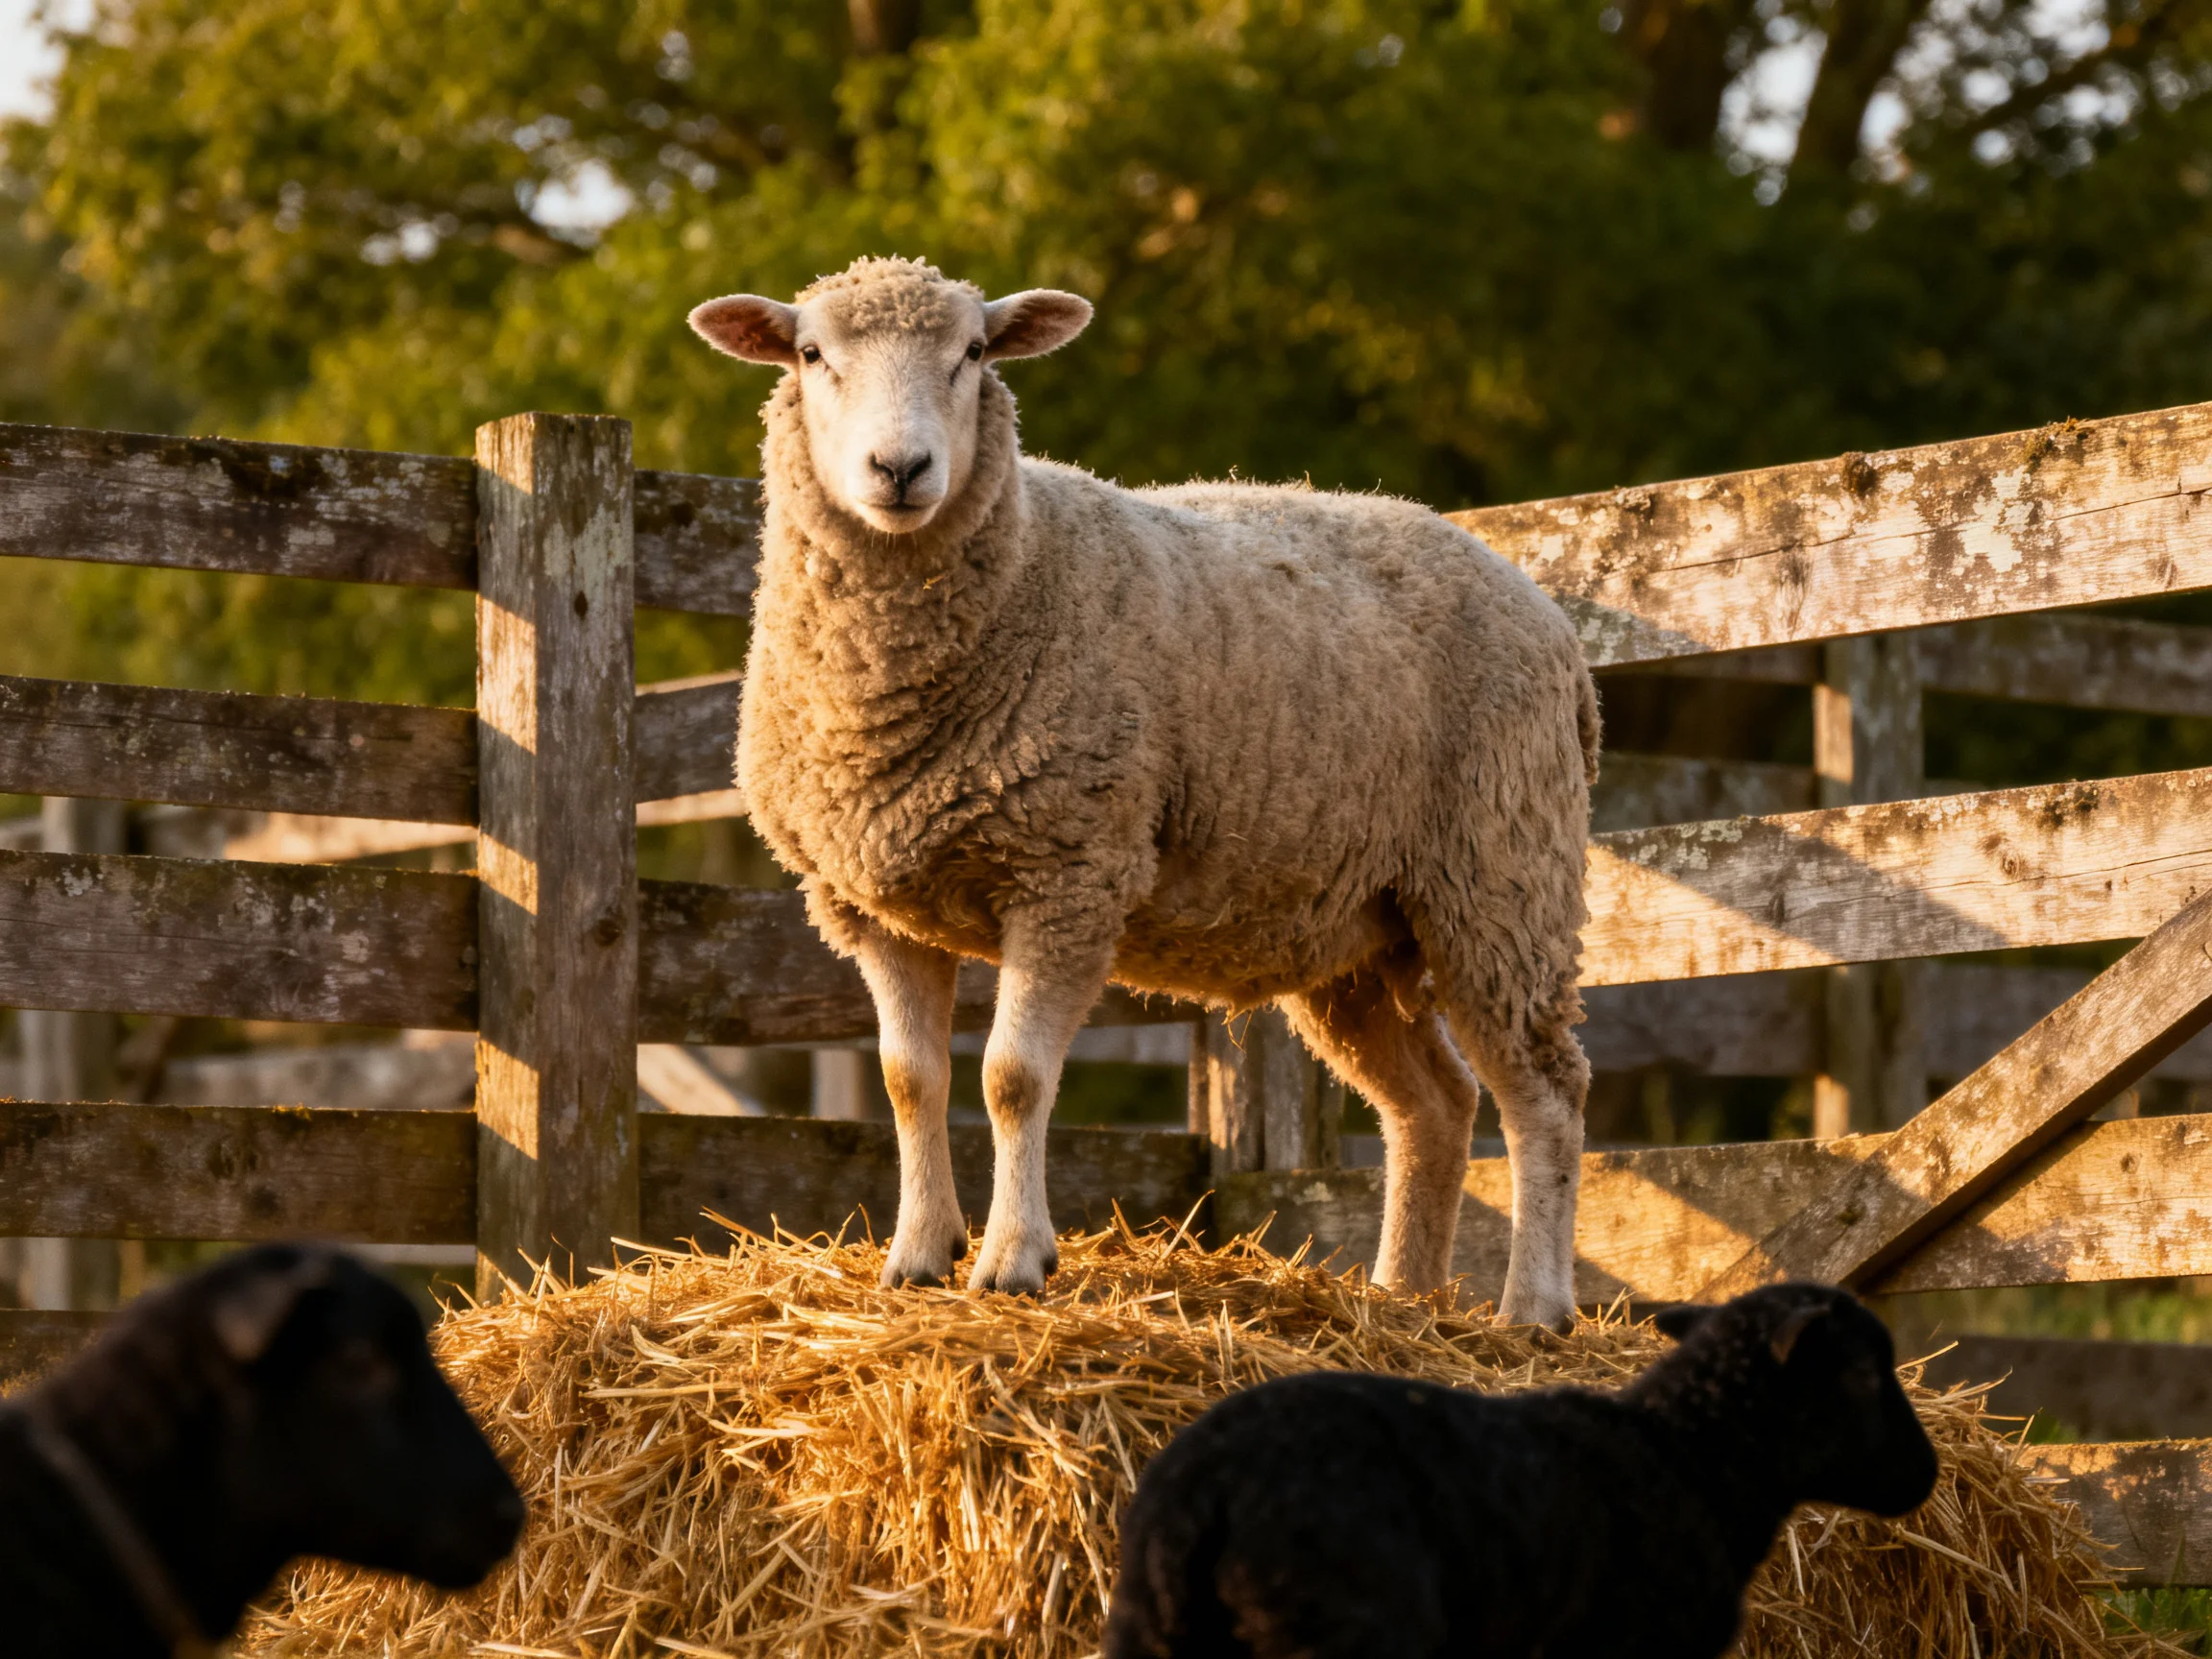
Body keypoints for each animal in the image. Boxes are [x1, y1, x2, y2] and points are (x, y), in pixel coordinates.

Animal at [689, 256, 1600, 1325]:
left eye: (973, 353)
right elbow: (910, 1079)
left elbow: (1011, 1078)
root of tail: (1545, 610)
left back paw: (1532, 1308)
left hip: (1501, 875)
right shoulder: (872, 902)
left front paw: (1013, 1262)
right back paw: (1400, 1298)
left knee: (1545, 1091)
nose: (901, 469)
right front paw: (916, 1259)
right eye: (811, 354)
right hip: (1359, 928)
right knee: (1435, 1105)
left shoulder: (1068, 871)